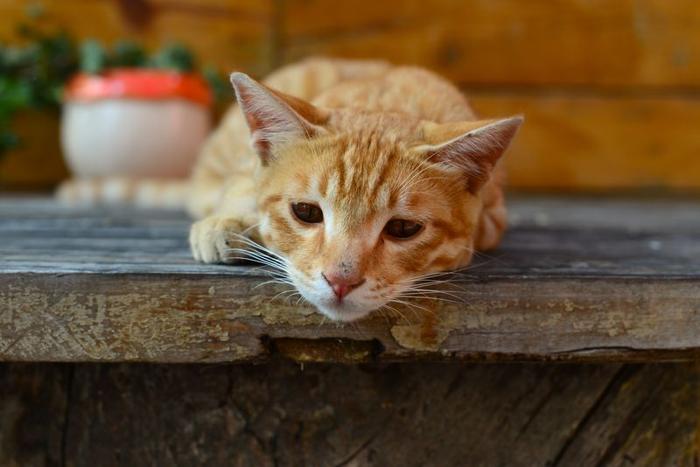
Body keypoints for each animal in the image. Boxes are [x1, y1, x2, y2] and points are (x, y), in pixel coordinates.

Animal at [189, 57, 524, 322]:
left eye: (403, 228)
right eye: (305, 212)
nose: (340, 281)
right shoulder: (246, 168)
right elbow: (243, 185)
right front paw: (228, 221)